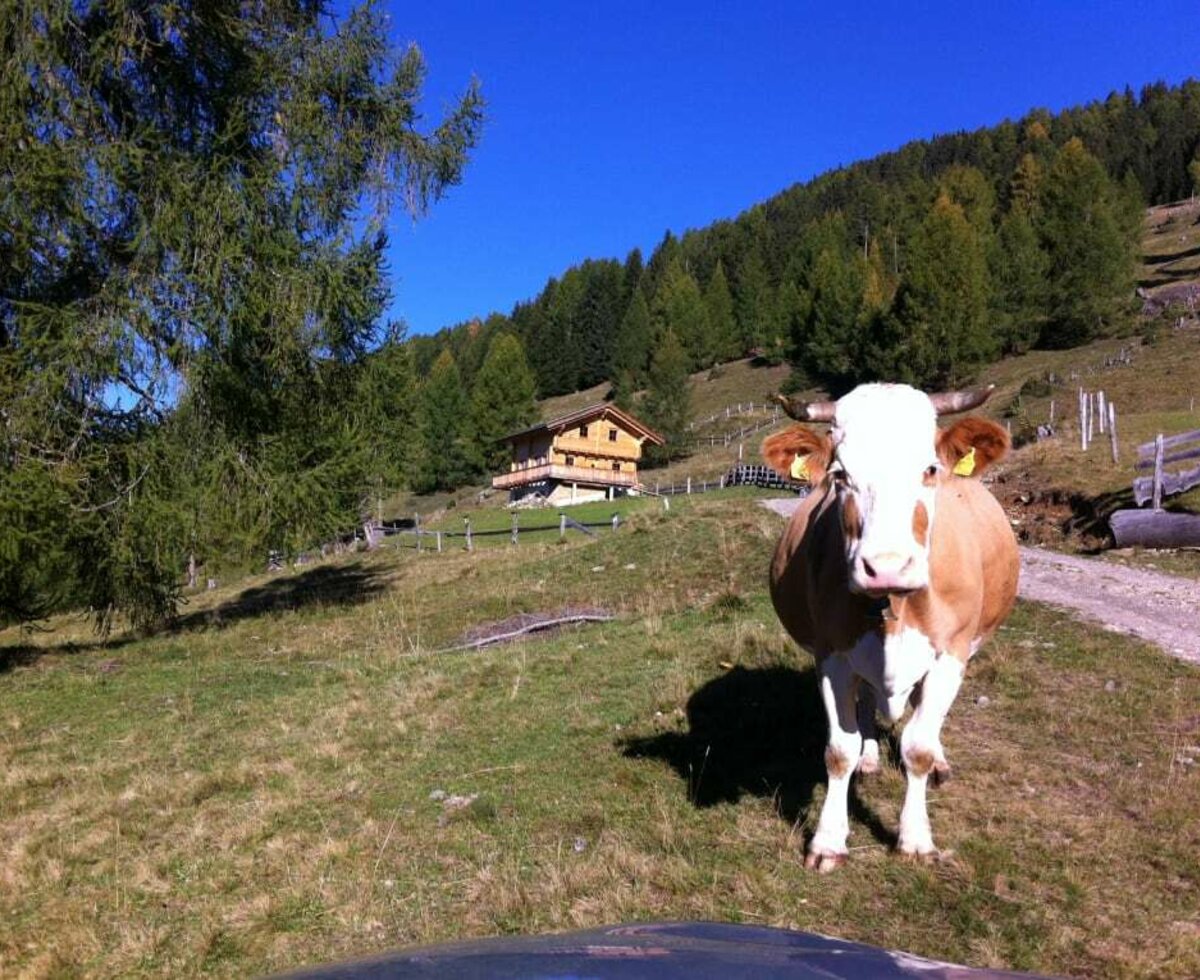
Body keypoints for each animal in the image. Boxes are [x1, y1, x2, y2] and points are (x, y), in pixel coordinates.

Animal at [763, 381, 1017, 873]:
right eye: (840, 475)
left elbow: (918, 748)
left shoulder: (951, 655)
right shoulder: (833, 656)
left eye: (930, 468)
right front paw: (828, 840)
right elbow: (838, 750)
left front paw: (915, 838)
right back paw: (869, 756)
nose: (886, 568)